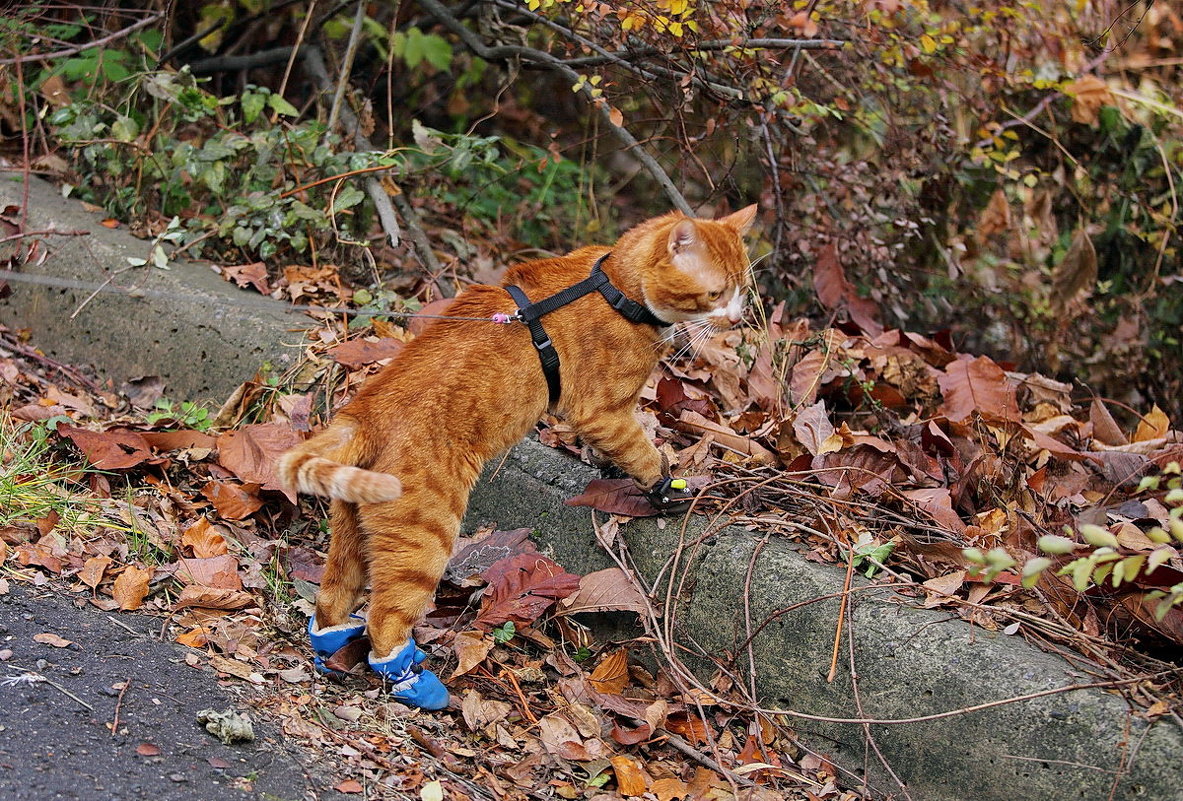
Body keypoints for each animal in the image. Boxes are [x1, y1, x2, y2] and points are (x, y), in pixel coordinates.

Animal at [278, 204, 757, 705]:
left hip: (352, 531)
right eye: (715, 293)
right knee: (385, 620)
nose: (737, 320)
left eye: (744, 288)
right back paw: (415, 683)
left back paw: (331, 651)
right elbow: (642, 453)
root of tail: (364, 412)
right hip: (422, 539)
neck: (615, 288)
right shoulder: (602, 412)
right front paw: (668, 486)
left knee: (331, 599)